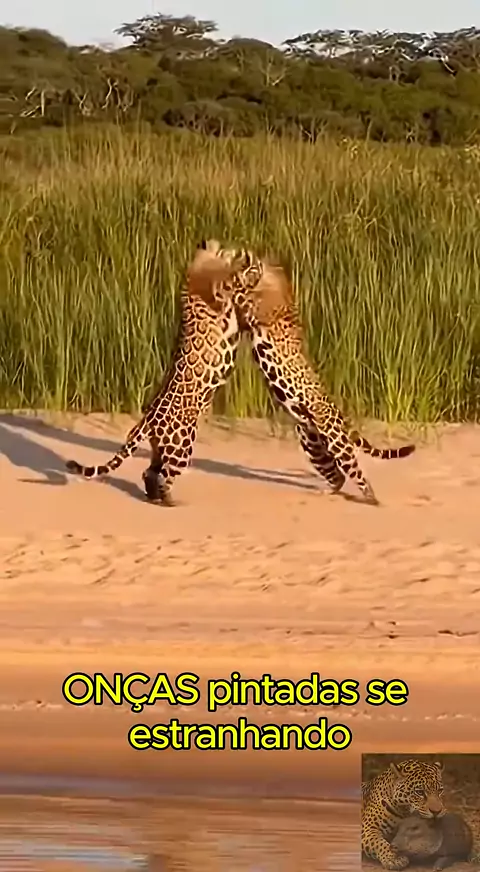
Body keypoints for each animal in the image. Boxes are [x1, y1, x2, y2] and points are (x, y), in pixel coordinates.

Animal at [65, 240, 263, 506]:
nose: (235, 249)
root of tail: (147, 420)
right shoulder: (222, 297)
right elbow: (233, 284)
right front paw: (245, 266)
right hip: (181, 447)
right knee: (164, 475)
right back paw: (169, 500)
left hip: (161, 448)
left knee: (149, 472)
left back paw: (154, 497)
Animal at [219, 248, 415, 505]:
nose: (245, 254)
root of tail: (339, 414)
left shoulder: (253, 308)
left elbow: (242, 296)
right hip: (312, 443)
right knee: (337, 474)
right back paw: (329, 492)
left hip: (335, 439)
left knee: (354, 470)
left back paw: (372, 498)